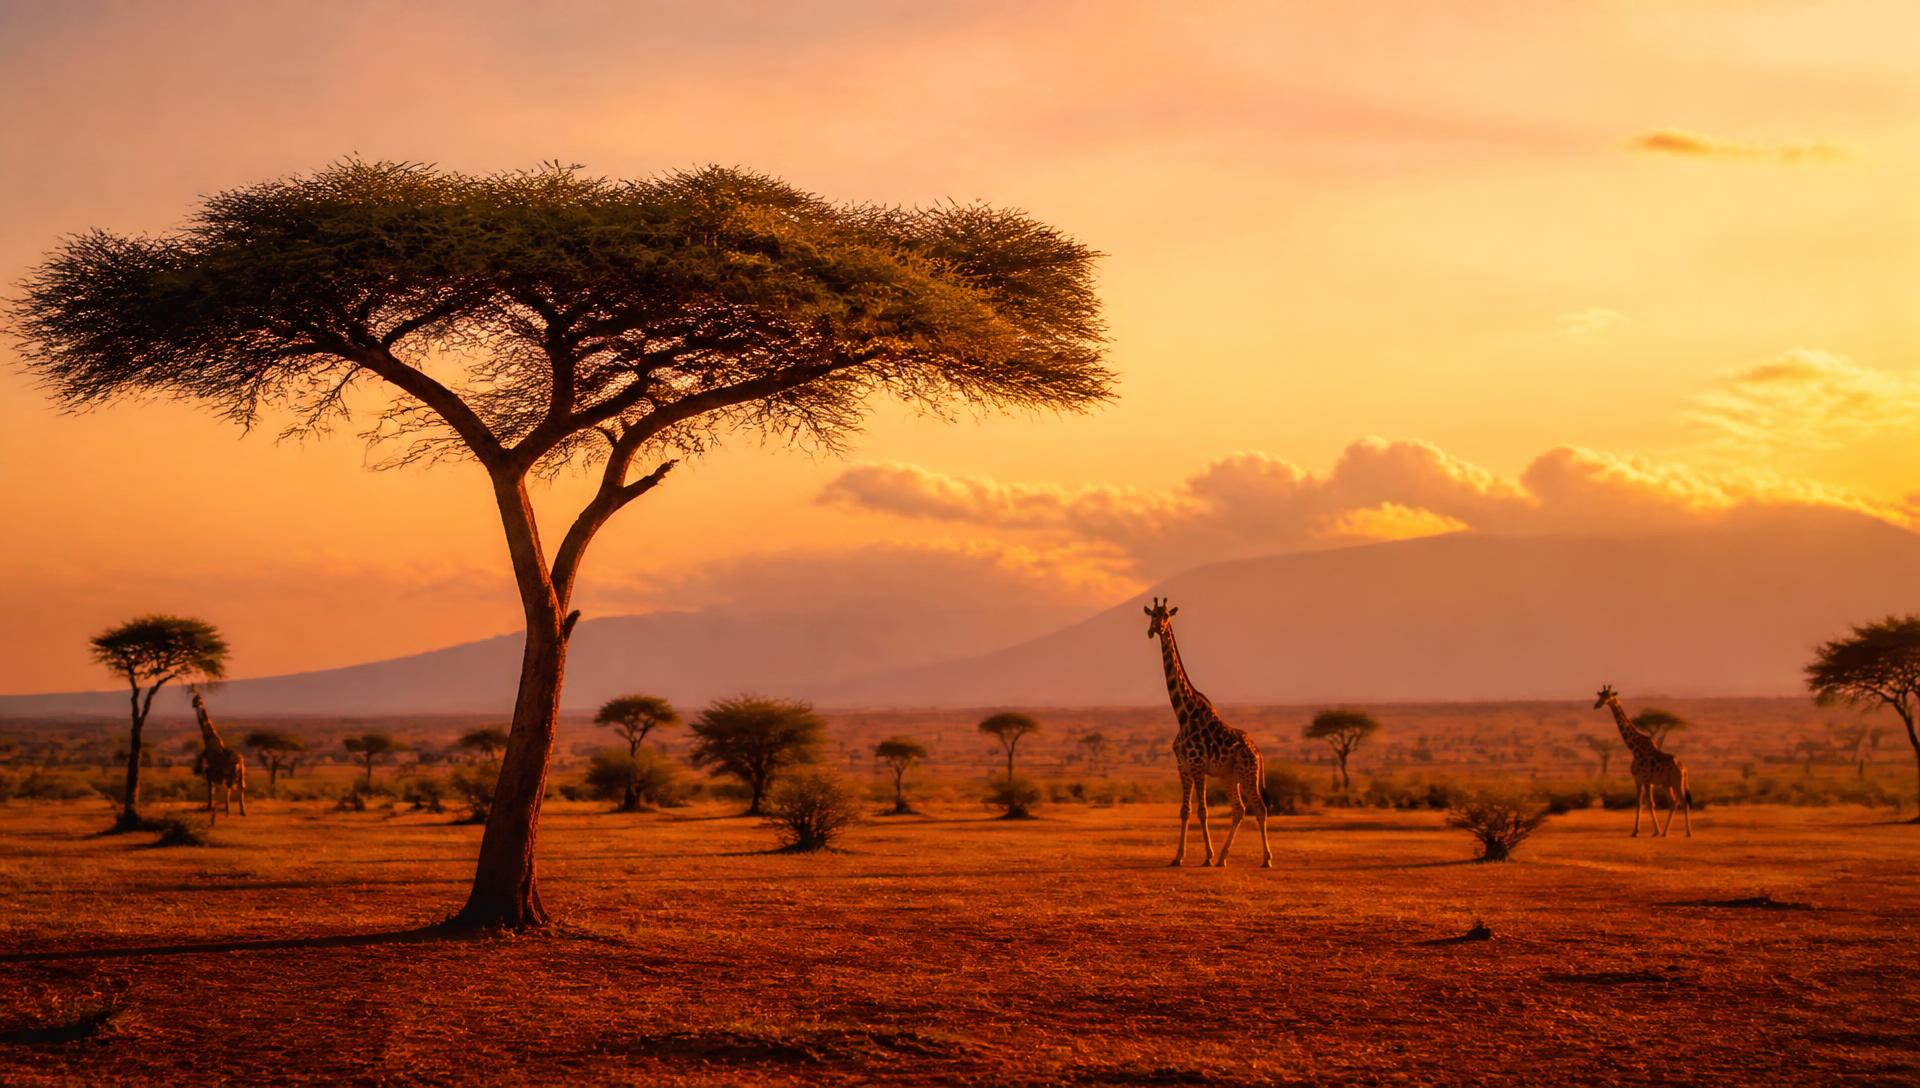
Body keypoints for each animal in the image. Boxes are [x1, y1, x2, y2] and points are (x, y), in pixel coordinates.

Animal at [190, 687, 247, 817]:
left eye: (196, 700)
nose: (193, 705)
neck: (208, 739)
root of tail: (240, 761)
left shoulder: (209, 772)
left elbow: (210, 791)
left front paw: (208, 808)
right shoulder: (212, 773)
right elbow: (213, 791)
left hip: (230, 775)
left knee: (230, 788)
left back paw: (228, 811)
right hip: (240, 775)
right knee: (241, 788)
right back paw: (242, 811)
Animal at [1145, 597, 1272, 868]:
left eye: (1166, 616)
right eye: (1152, 615)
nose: (1154, 630)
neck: (1183, 714)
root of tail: (1259, 753)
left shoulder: (1197, 765)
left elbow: (1203, 811)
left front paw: (1206, 856)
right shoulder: (1182, 766)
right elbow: (1185, 811)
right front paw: (1178, 857)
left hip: (1248, 774)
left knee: (1260, 808)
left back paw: (1266, 859)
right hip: (1230, 777)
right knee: (1239, 809)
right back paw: (1224, 858)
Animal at [1593, 684, 1689, 838]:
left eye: (1609, 696)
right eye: (1600, 696)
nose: (1597, 705)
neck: (1634, 748)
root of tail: (1684, 768)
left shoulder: (1646, 780)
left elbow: (1650, 803)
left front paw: (1655, 831)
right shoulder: (1638, 780)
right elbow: (1639, 803)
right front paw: (1635, 831)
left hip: (1676, 782)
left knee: (1683, 801)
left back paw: (1687, 833)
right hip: (1666, 784)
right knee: (1674, 802)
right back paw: (1665, 832)